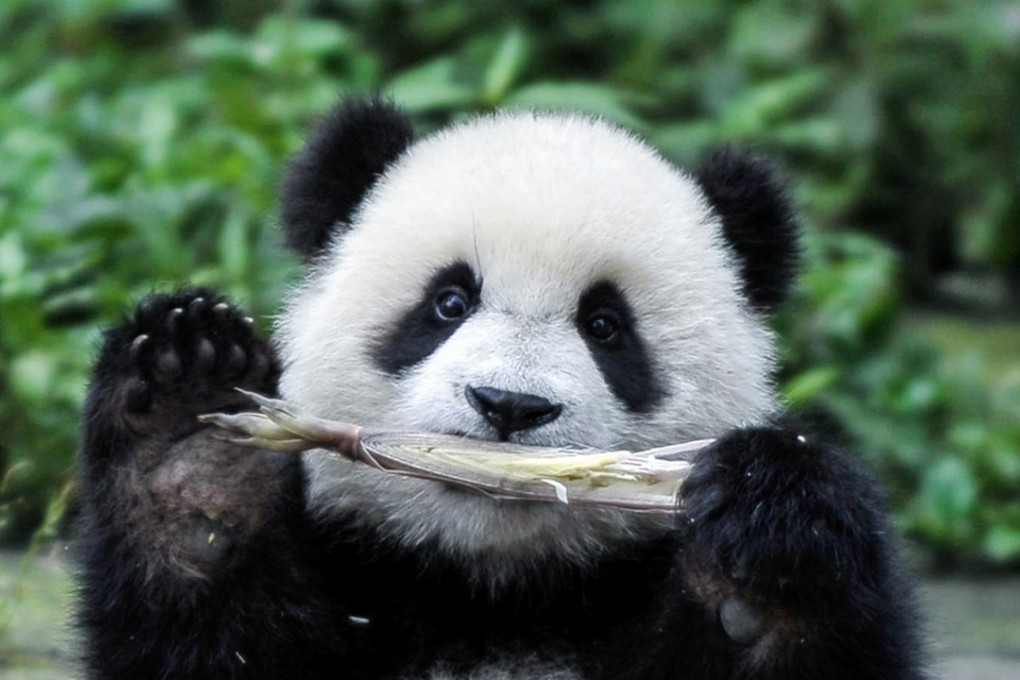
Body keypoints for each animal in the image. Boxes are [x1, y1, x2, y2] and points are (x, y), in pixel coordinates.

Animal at [78, 97, 926, 679]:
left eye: (605, 326)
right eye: (449, 302)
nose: (510, 406)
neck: (496, 591)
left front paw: (758, 563)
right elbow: (210, 640)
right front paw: (192, 441)